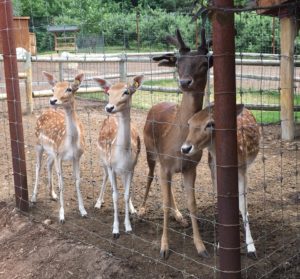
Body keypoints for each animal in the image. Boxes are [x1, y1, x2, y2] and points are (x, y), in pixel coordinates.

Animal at [31, 71, 87, 223]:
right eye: (53, 89)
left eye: (69, 89)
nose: (53, 100)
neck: (71, 143)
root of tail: (43, 112)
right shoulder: (59, 156)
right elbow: (62, 183)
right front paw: (61, 215)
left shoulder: (77, 157)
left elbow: (78, 181)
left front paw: (83, 211)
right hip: (38, 145)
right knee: (37, 167)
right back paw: (33, 197)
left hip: (51, 152)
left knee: (47, 164)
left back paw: (52, 194)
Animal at [93, 75, 144, 238]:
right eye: (108, 92)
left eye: (126, 92)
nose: (109, 108)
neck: (122, 155)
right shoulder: (111, 166)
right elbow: (115, 196)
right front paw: (115, 230)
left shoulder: (131, 168)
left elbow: (126, 194)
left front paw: (128, 226)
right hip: (103, 161)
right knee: (104, 177)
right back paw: (98, 202)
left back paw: (132, 208)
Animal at [139, 29, 212, 260]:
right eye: (178, 61)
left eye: (204, 62)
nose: (185, 82)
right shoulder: (164, 164)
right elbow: (162, 203)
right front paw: (164, 247)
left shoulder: (191, 168)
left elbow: (192, 204)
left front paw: (201, 247)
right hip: (150, 152)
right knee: (149, 176)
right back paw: (141, 210)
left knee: (169, 190)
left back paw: (179, 215)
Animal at [180, 104, 260, 260]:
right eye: (189, 123)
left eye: (210, 124)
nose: (185, 148)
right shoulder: (214, 171)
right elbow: (220, 200)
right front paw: (220, 244)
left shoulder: (242, 170)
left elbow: (243, 205)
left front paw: (251, 248)